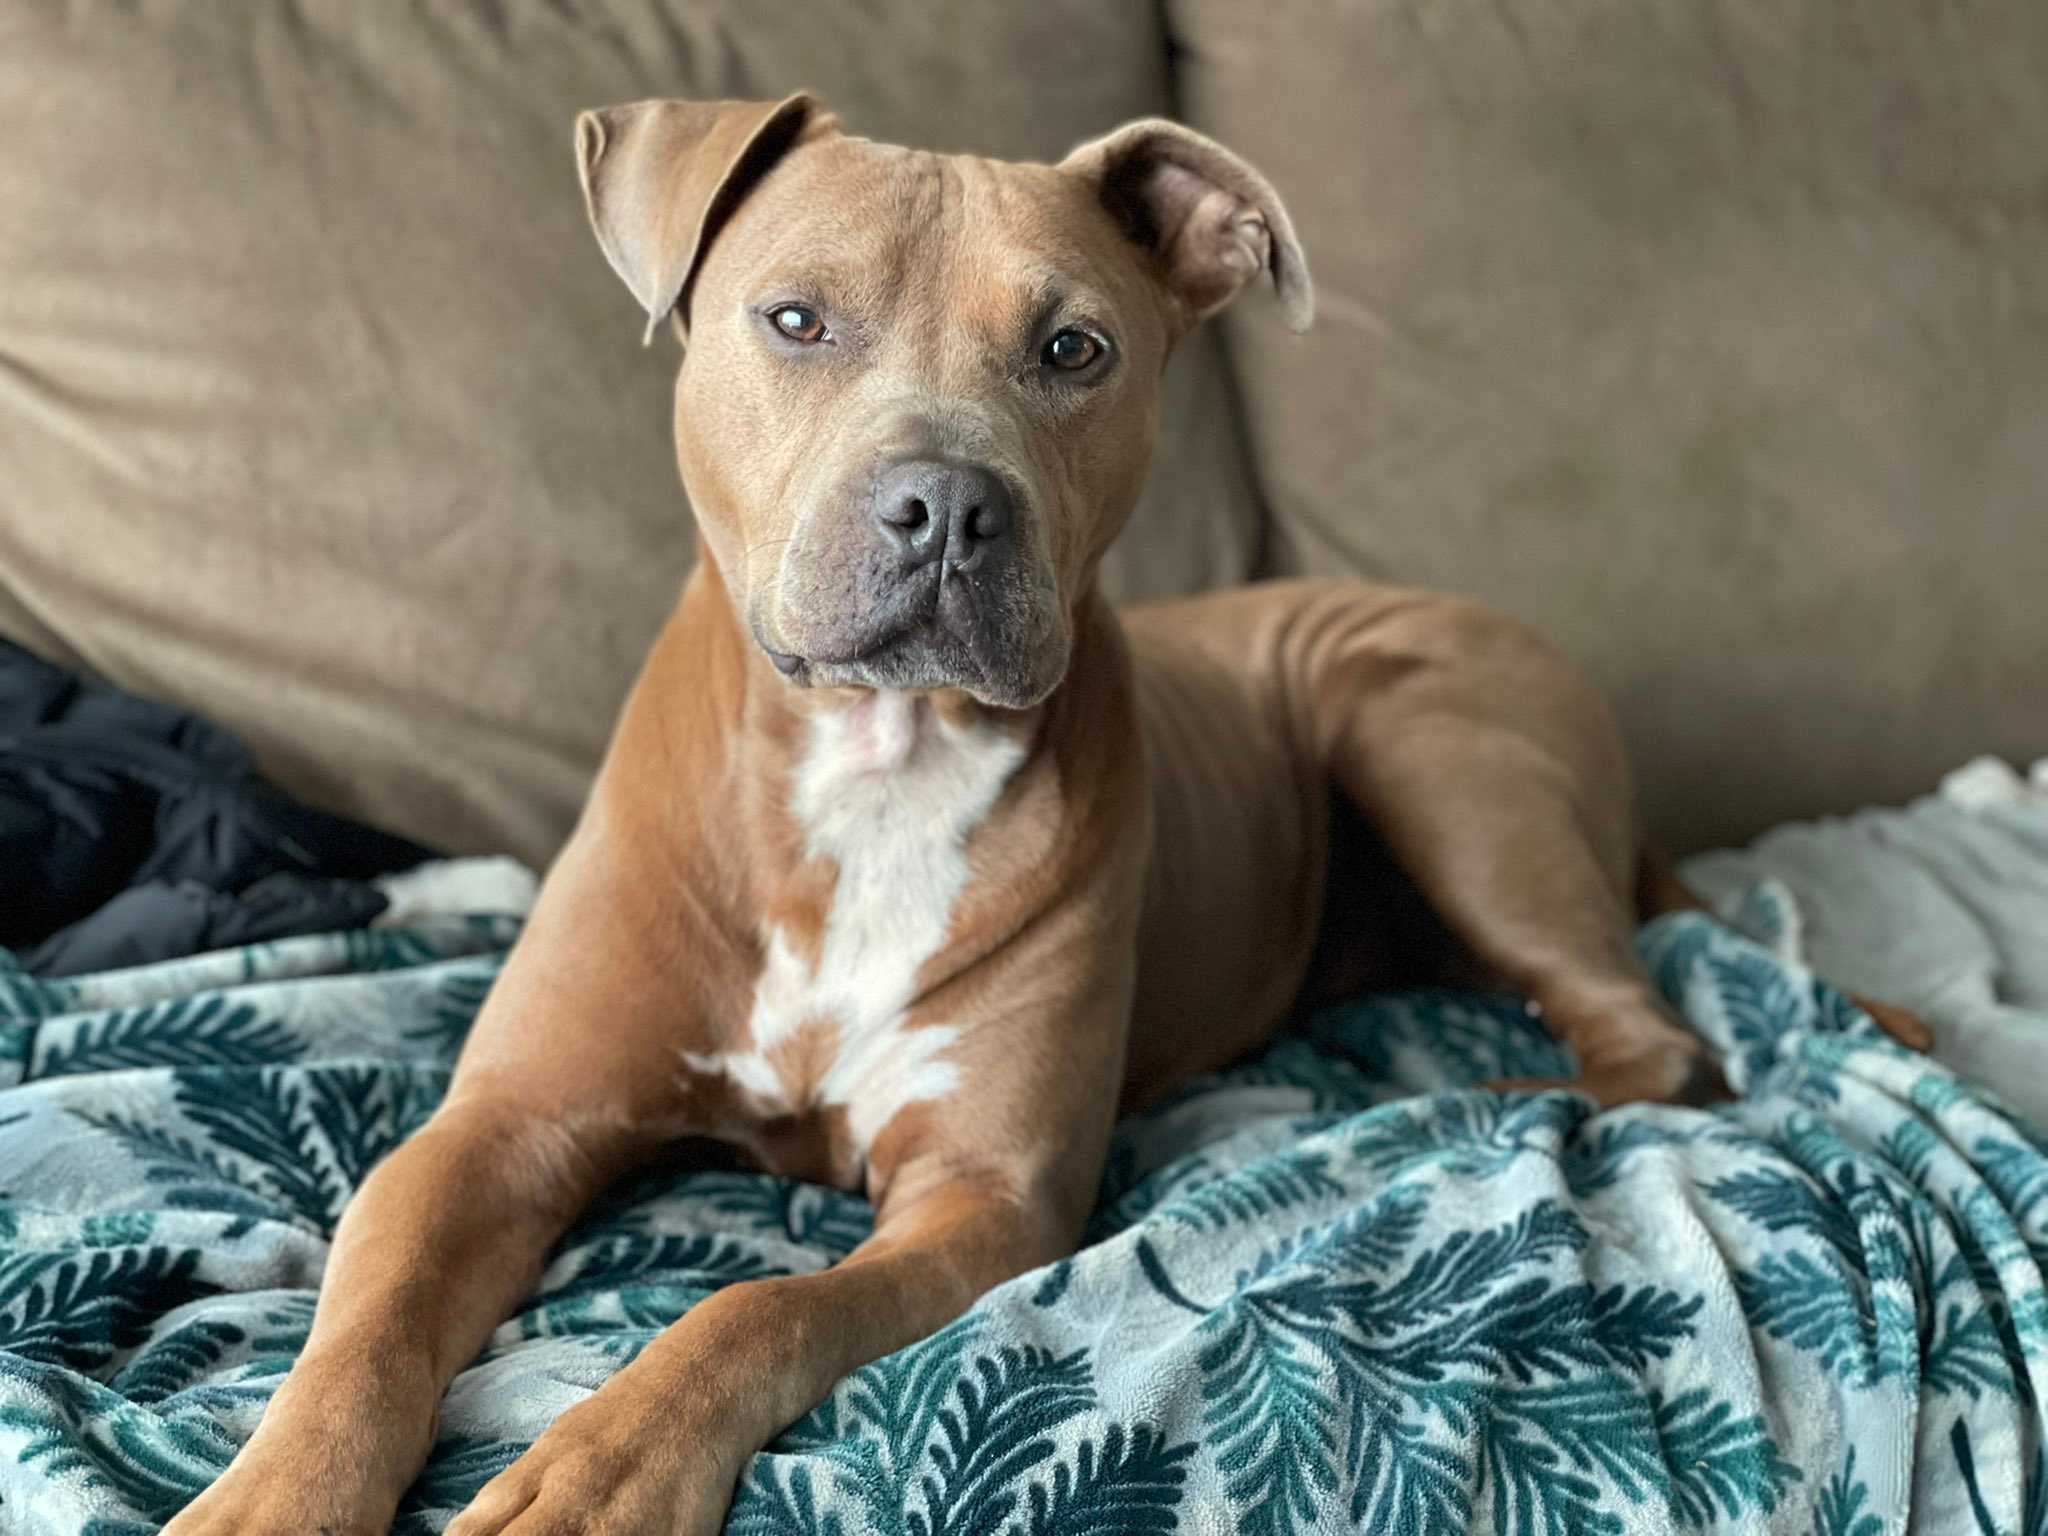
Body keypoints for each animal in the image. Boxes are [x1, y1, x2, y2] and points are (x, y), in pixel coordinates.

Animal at [163, 96, 1933, 1536]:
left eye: (1076, 351)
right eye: (795, 318)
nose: (947, 502)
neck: (874, 771)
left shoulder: (984, 1196)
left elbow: (755, 1312)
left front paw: (603, 1465)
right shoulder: (500, 1127)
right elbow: (369, 1318)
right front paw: (270, 1492)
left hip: (1433, 743)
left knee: (1649, 1040)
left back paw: (1458, 1099)